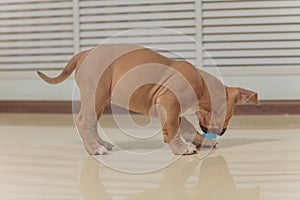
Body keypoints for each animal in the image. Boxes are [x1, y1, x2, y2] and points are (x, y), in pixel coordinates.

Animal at [37, 44, 258, 155]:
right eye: (226, 116)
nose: (222, 132)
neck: (204, 85)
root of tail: (85, 52)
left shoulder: (174, 110)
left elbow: (186, 127)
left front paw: (201, 141)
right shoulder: (169, 104)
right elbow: (174, 129)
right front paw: (181, 149)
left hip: (100, 99)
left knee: (92, 123)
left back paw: (100, 144)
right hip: (95, 94)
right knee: (84, 120)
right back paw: (94, 149)